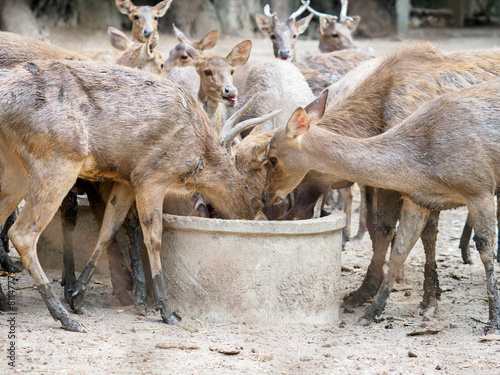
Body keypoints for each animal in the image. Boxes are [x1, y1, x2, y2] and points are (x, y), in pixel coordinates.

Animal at [0, 58, 256, 332]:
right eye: (245, 185)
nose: (247, 214)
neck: (199, 156)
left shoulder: (126, 179)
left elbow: (108, 229)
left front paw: (78, 296)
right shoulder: (150, 176)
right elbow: (153, 238)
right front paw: (166, 310)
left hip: (16, 171)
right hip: (58, 162)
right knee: (22, 233)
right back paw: (63, 317)